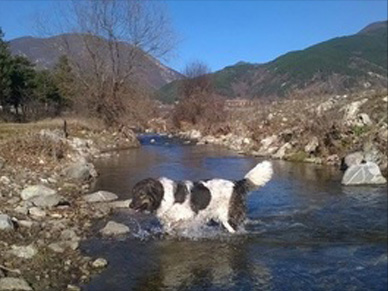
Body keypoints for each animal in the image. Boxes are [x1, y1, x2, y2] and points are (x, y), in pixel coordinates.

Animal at [130, 161, 272, 234]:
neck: (164, 196)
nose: (130, 205)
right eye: (133, 193)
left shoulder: (189, 215)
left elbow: (180, 224)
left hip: (228, 216)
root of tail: (236, 184)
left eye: (141, 194)